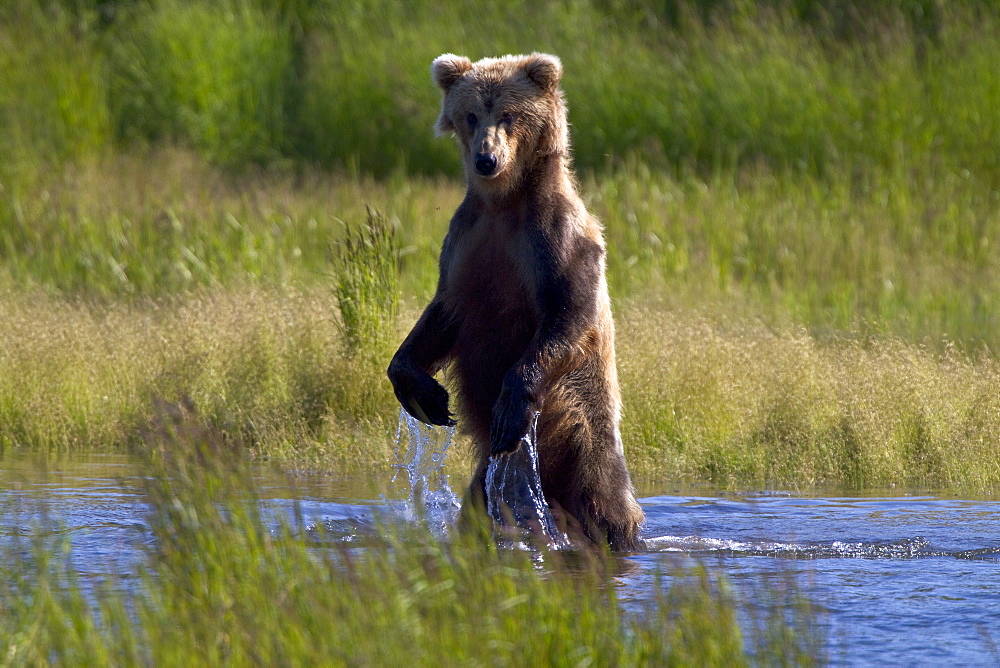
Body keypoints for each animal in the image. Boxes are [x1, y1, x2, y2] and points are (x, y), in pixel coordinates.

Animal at [386, 53, 644, 552]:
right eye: (471, 115)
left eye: (509, 115)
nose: (486, 159)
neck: (503, 204)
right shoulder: (466, 242)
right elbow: (441, 315)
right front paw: (427, 395)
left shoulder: (551, 238)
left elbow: (568, 312)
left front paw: (510, 405)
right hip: (491, 476)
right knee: (480, 501)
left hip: (585, 434)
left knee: (605, 501)